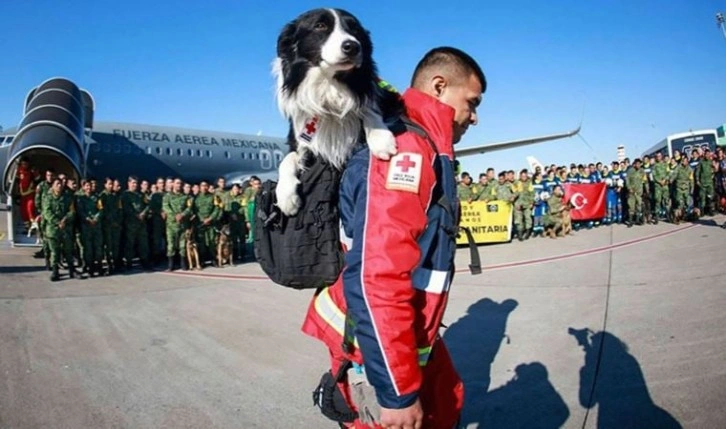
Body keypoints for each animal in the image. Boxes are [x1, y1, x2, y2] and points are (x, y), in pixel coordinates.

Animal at [272, 9, 404, 217]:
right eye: (320, 26)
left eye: (355, 29)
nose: (353, 46)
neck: (330, 85)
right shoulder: (298, 135)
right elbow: (287, 158)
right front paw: (286, 196)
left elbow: (369, 107)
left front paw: (381, 138)